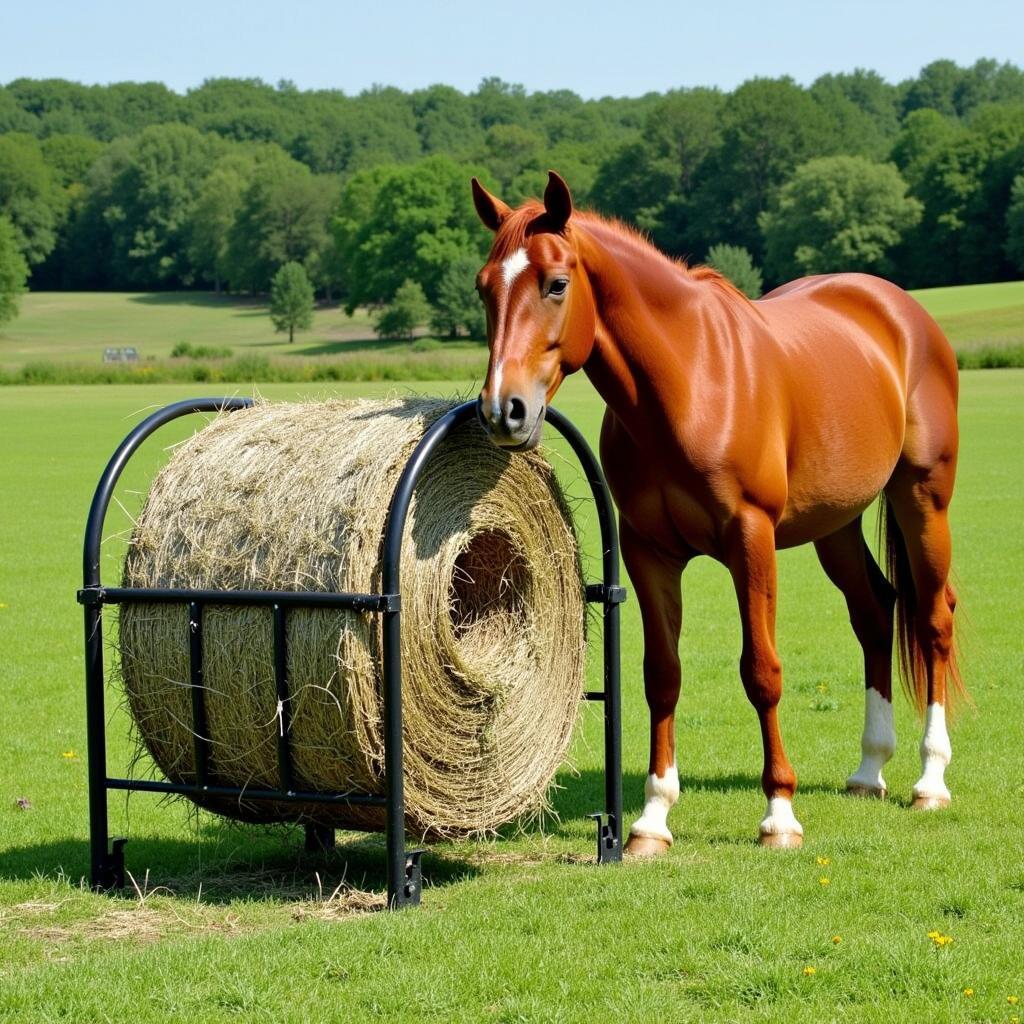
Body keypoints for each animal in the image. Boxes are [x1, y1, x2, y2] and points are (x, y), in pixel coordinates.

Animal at [468, 172, 962, 851]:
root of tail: (903, 313)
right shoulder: (649, 552)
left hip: (922, 499)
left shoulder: (750, 540)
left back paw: (930, 780)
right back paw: (869, 769)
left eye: (556, 283)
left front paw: (779, 813)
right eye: (484, 286)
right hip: (836, 524)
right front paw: (652, 819)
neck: (691, 381)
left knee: (934, 619)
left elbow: (762, 671)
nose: (503, 411)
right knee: (874, 610)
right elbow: (661, 675)